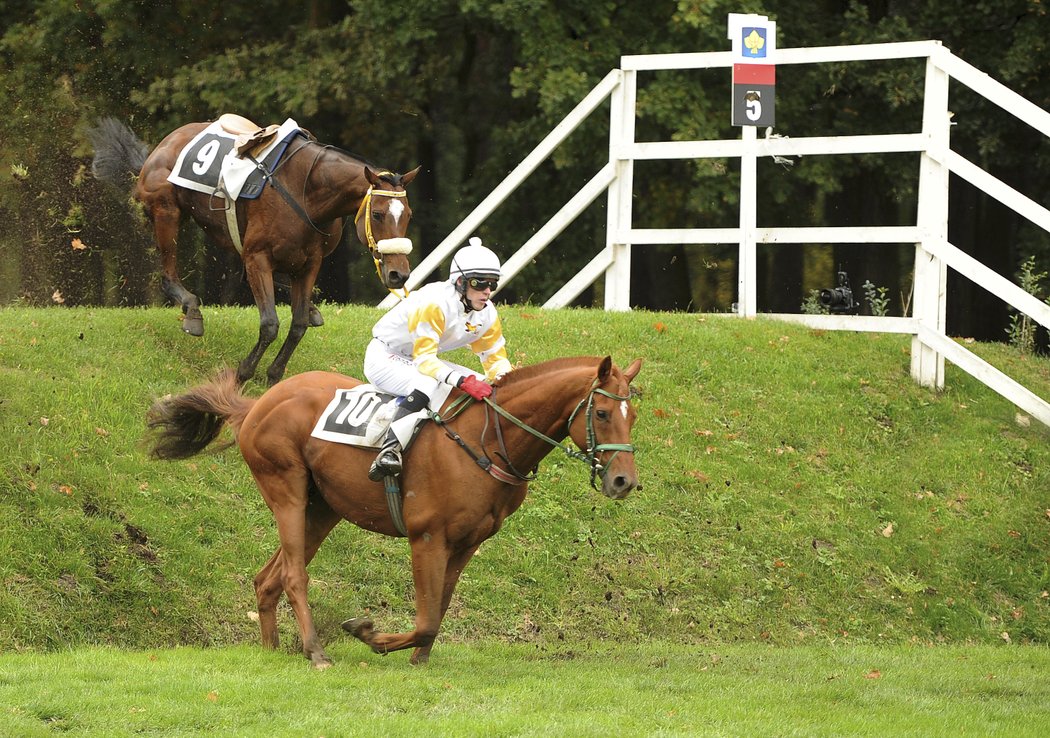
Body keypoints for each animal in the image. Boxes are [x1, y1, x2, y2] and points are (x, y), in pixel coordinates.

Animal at [89, 118, 417, 384]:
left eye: (408, 215)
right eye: (378, 215)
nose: (398, 274)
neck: (307, 191)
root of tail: (160, 148)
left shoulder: (309, 263)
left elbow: (298, 324)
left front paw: (274, 373)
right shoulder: (258, 257)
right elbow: (270, 324)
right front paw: (244, 371)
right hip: (166, 212)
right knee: (168, 275)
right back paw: (191, 309)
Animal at [147, 354, 638, 667]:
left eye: (632, 416)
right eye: (602, 413)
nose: (624, 481)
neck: (486, 441)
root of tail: (257, 403)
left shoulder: (466, 544)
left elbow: (437, 612)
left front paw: (418, 659)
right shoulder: (428, 538)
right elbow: (425, 620)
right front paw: (369, 634)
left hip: (322, 509)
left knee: (268, 577)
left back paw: (272, 650)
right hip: (286, 490)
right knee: (293, 574)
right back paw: (315, 652)